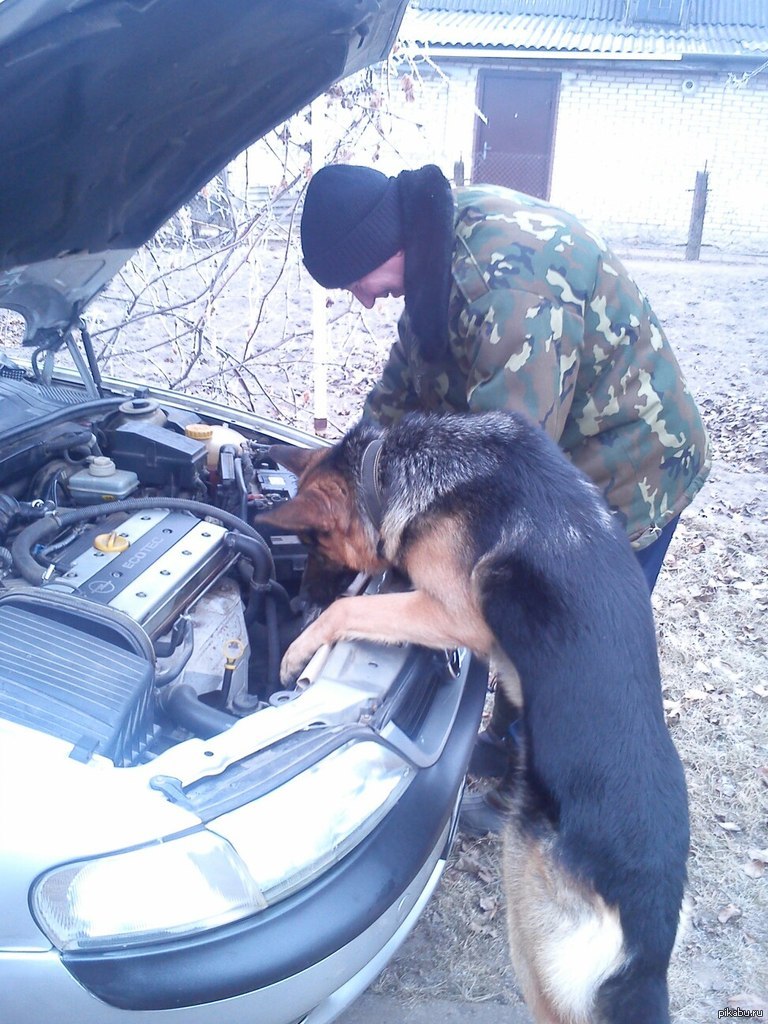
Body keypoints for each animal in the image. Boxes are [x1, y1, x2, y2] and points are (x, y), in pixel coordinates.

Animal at [260, 409, 692, 1024]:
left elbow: (349, 609)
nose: (295, 604)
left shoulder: (453, 613)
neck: (395, 467)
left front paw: (299, 651)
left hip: (532, 934)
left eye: (313, 543)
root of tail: (651, 938)